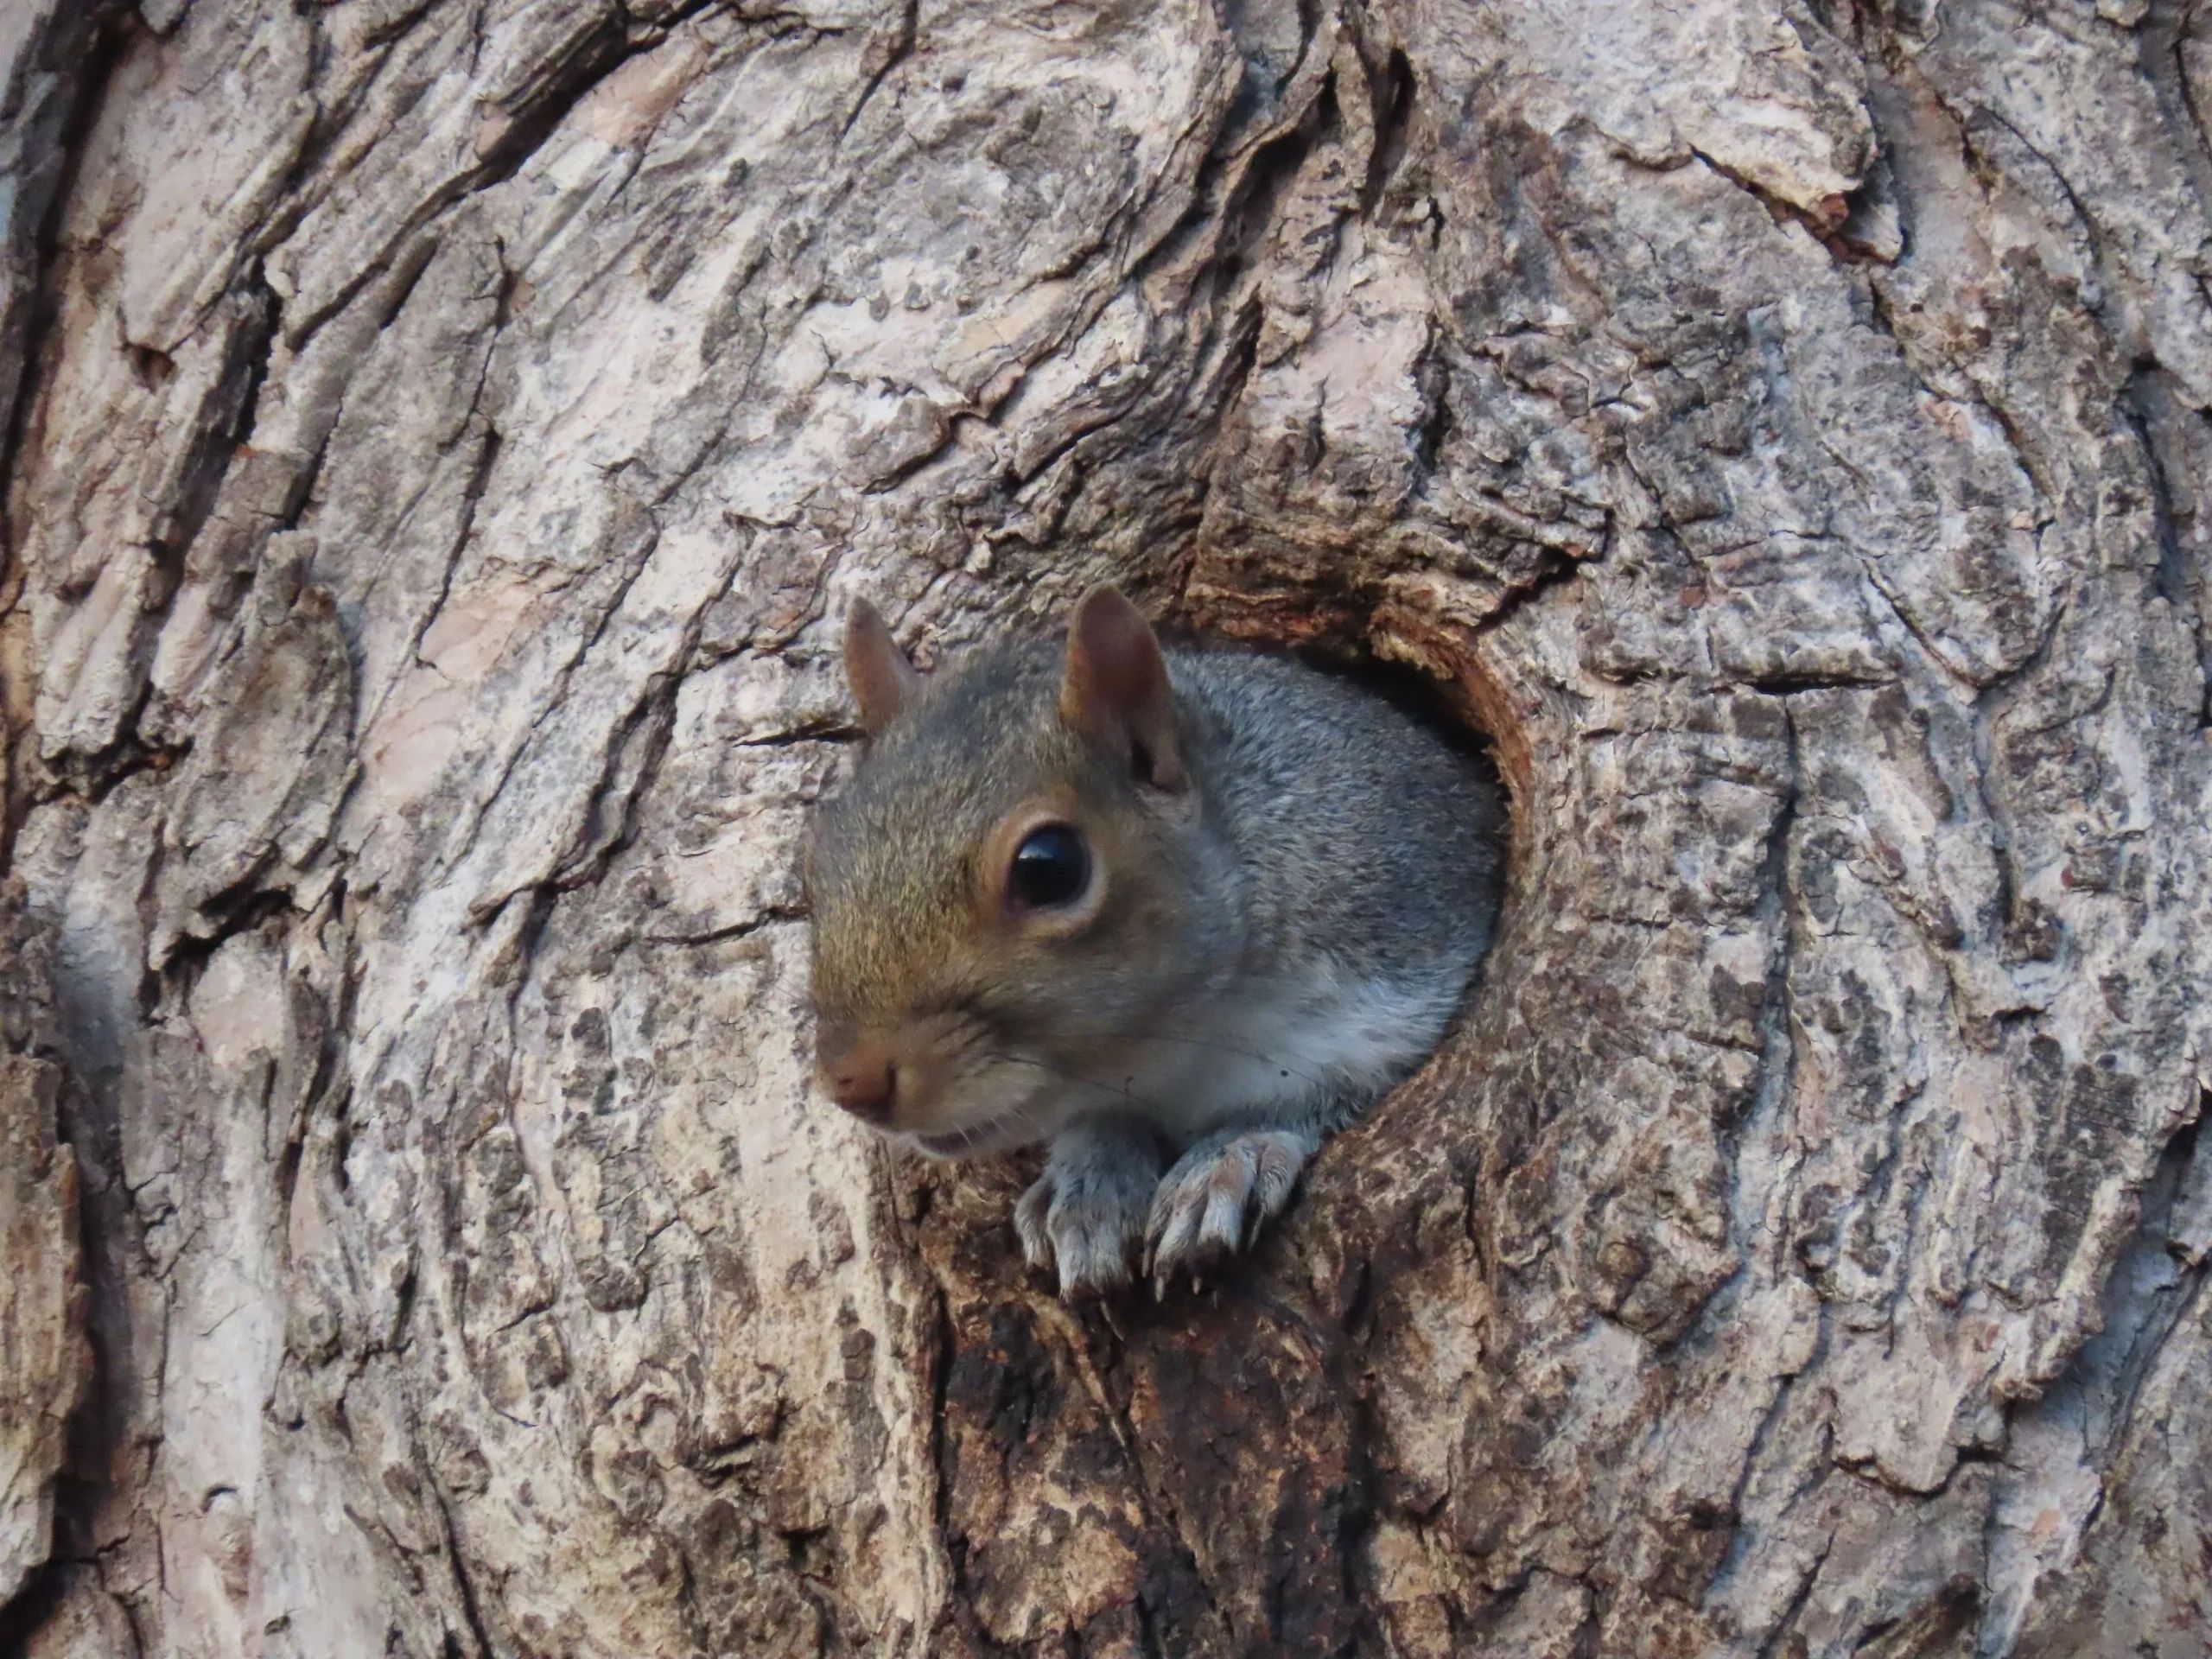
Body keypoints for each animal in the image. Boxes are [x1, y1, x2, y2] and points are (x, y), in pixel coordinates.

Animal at [804, 585, 1506, 1297]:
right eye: (819, 861)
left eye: (1049, 869)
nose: (852, 1083)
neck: (1176, 1047)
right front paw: (1088, 1184)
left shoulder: (1401, 962)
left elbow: (1320, 1094)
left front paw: (1230, 1157)